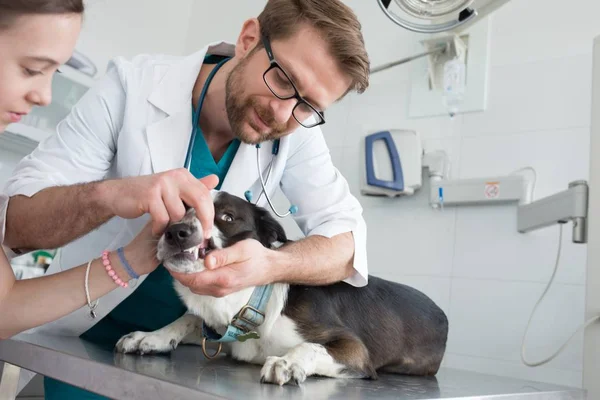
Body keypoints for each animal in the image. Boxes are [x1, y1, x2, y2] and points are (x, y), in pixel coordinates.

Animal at [115, 192, 448, 386]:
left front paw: (287, 361)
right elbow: (190, 318)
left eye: (227, 217)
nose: (176, 232)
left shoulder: (355, 350)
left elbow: (311, 346)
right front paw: (152, 336)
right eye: (178, 211)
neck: (249, 303)